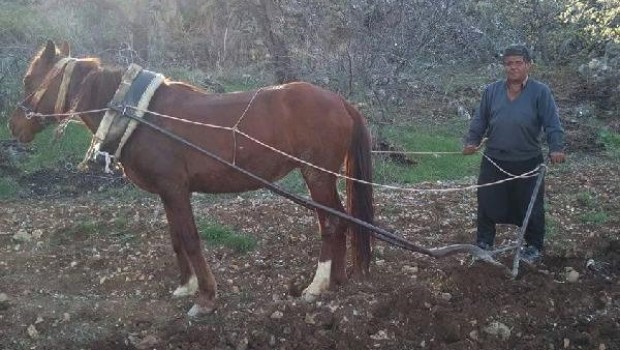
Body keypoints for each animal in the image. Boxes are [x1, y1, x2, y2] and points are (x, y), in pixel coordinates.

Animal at [9, 41, 376, 318]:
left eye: (28, 80)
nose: (14, 126)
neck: (141, 115)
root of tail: (340, 101)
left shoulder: (175, 188)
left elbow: (189, 238)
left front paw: (206, 298)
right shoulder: (168, 192)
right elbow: (175, 237)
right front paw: (186, 286)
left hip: (317, 175)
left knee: (331, 224)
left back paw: (317, 285)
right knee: (341, 221)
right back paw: (336, 280)